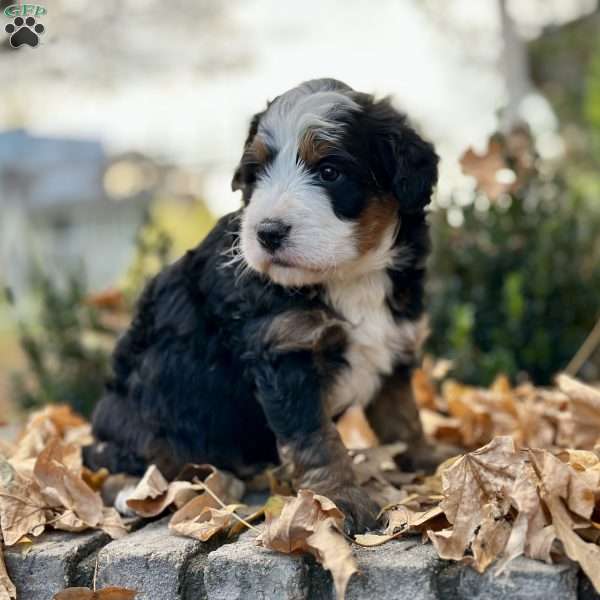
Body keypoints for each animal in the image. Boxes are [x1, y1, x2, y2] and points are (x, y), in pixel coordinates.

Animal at [83, 77, 440, 532]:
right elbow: (316, 439)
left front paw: (429, 463)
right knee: (114, 466)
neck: (350, 275)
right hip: (139, 418)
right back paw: (141, 492)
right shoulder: (284, 351)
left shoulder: (395, 343)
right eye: (257, 174)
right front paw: (340, 497)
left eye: (329, 171)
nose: (267, 233)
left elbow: (404, 418)